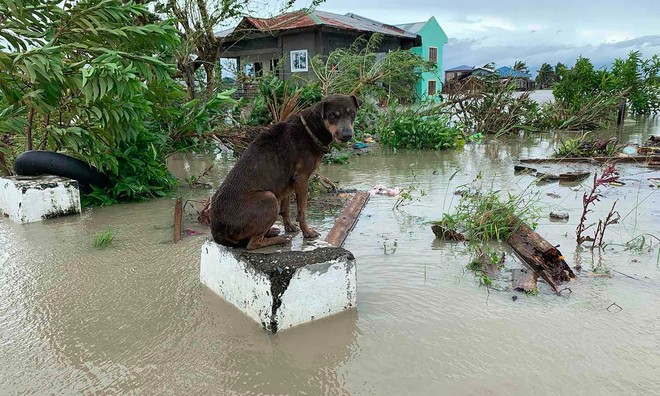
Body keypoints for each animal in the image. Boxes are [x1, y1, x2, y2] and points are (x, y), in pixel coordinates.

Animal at [211, 94, 360, 249]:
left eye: (352, 113)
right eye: (332, 116)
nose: (347, 135)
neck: (310, 129)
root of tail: (218, 233)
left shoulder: (287, 183)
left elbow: (286, 208)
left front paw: (290, 227)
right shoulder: (302, 178)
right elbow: (302, 210)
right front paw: (307, 232)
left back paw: (271, 232)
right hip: (269, 198)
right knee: (253, 243)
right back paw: (281, 239)